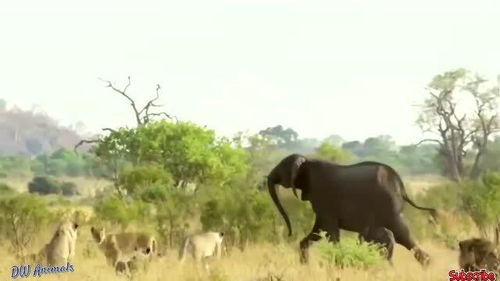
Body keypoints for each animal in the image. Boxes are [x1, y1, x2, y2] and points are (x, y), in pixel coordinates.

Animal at [266, 153, 438, 264]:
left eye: (281, 168)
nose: (288, 234)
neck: (307, 161)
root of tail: (401, 186)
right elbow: (319, 230)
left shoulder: (324, 197)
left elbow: (329, 232)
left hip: (389, 206)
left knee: (402, 235)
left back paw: (426, 264)